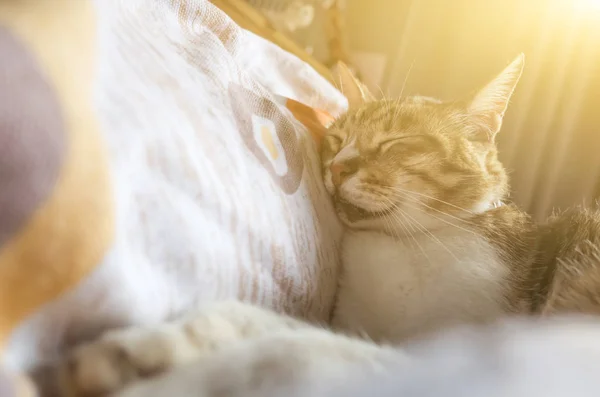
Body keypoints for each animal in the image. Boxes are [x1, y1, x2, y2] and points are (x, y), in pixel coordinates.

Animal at [42, 55, 600, 396]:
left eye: (396, 144)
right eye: (337, 139)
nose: (338, 167)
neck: (402, 248)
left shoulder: (465, 352)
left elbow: (296, 348)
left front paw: (160, 364)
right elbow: (276, 324)